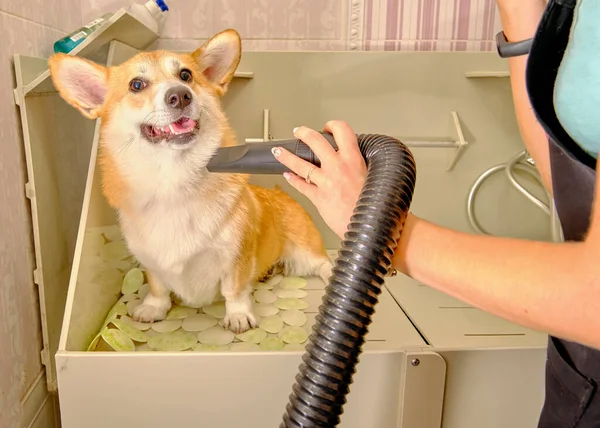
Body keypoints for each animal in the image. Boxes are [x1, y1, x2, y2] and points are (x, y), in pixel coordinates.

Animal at [49, 29, 332, 334]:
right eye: (136, 84)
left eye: (186, 75)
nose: (180, 95)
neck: (173, 179)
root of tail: (282, 192)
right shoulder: (151, 260)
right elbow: (158, 286)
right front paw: (154, 307)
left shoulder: (236, 257)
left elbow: (234, 290)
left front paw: (238, 315)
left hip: (304, 253)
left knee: (324, 263)